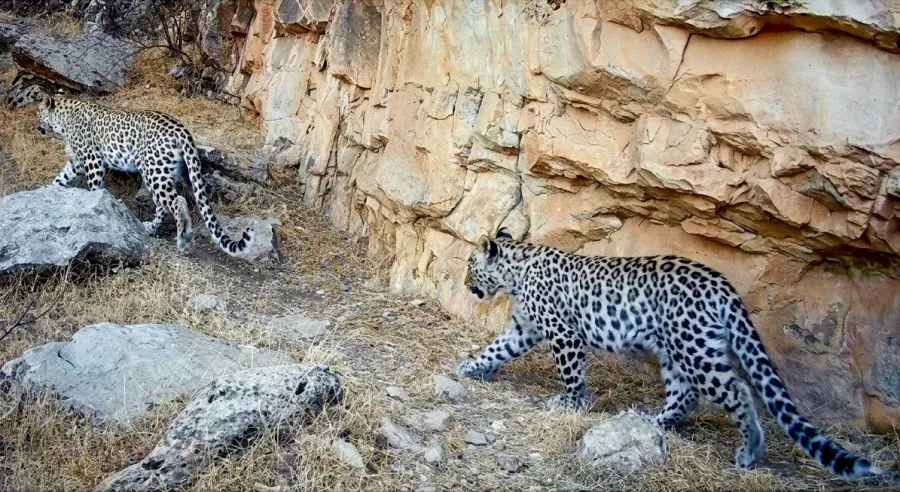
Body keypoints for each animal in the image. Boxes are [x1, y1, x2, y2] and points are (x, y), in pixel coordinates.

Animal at [34, 94, 254, 257]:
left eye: (38, 115)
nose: (36, 128)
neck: (64, 123)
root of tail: (182, 130)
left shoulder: (93, 161)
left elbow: (94, 188)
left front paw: (96, 207)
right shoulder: (77, 163)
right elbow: (59, 179)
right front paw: (45, 192)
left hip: (153, 172)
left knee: (177, 201)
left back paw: (183, 239)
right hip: (165, 173)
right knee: (163, 206)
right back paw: (149, 228)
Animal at [457, 229, 881, 479]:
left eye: (470, 265)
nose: (464, 283)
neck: (517, 272)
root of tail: (723, 285)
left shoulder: (564, 334)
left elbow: (571, 374)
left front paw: (569, 403)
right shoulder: (523, 329)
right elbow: (496, 348)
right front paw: (470, 367)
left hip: (695, 349)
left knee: (738, 391)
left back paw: (749, 452)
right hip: (676, 352)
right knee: (684, 395)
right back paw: (652, 421)